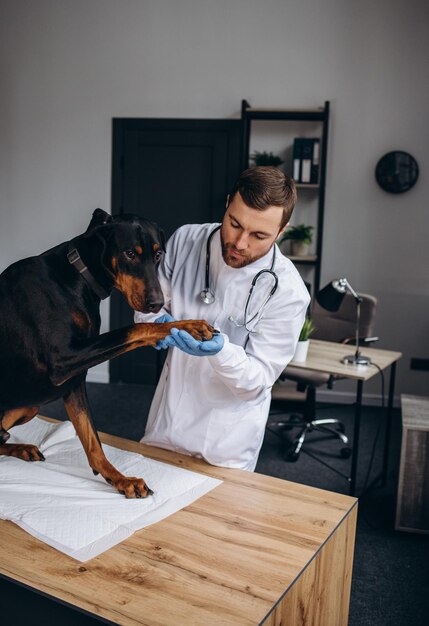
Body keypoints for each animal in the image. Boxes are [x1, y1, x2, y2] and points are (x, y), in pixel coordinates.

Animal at [0, 210, 214, 498]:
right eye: (129, 253)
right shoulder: (64, 361)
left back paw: (20, 447)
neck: (77, 278)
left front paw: (120, 479)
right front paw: (188, 325)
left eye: (158, 254)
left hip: (29, 404)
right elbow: (138, 328)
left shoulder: (73, 381)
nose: (157, 303)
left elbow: (92, 441)